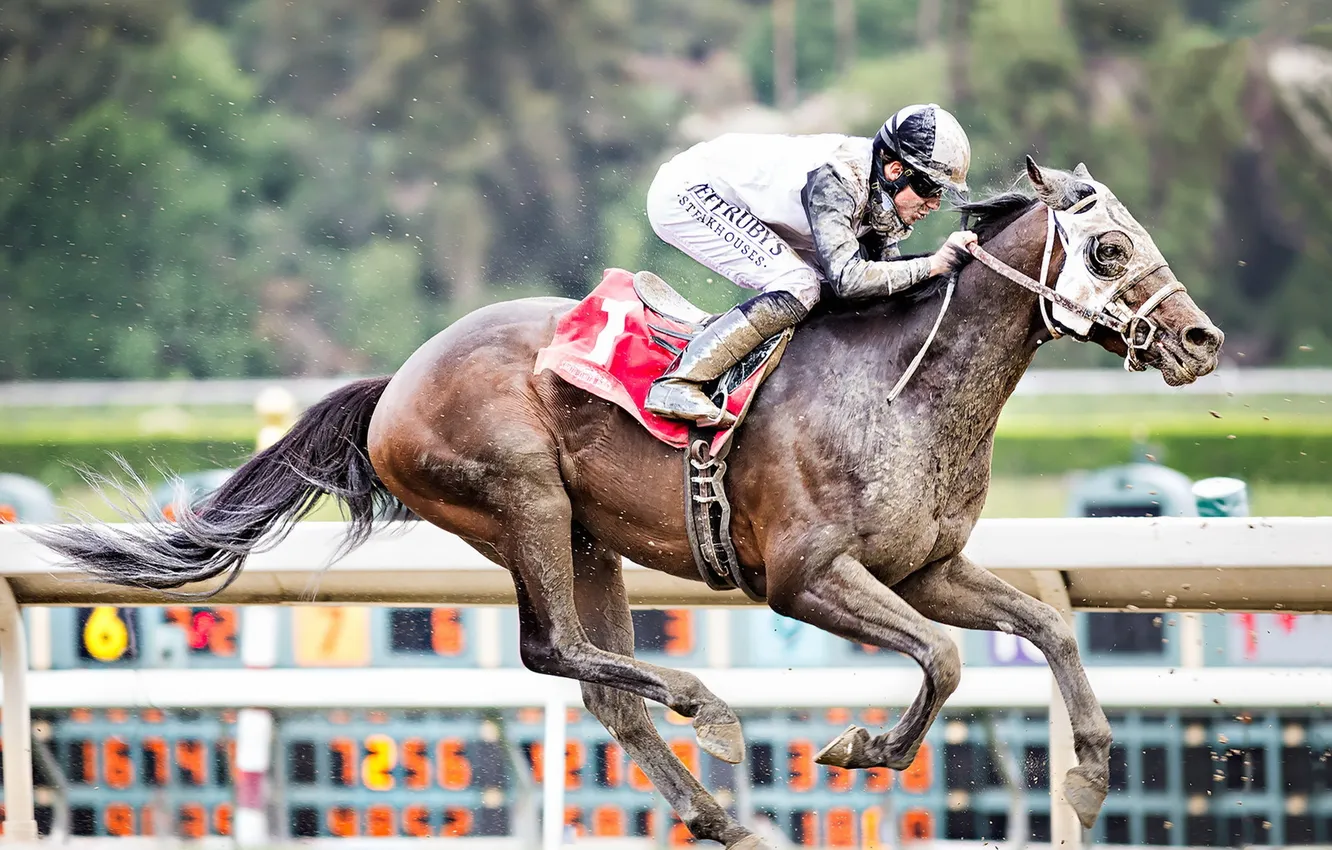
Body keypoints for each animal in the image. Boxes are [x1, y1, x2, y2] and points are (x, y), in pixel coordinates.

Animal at [35, 157, 1223, 848]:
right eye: (1109, 245)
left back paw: (719, 816)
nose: (1201, 339)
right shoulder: (805, 578)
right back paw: (712, 711)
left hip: (589, 537)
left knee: (604, 687)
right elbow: (942, 659)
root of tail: (396, 383)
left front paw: (1091, 774)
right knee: (553, 649)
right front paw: (862, 748)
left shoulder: (925, 566)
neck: (905, 385)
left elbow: (1044, 628)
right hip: (521, 501)